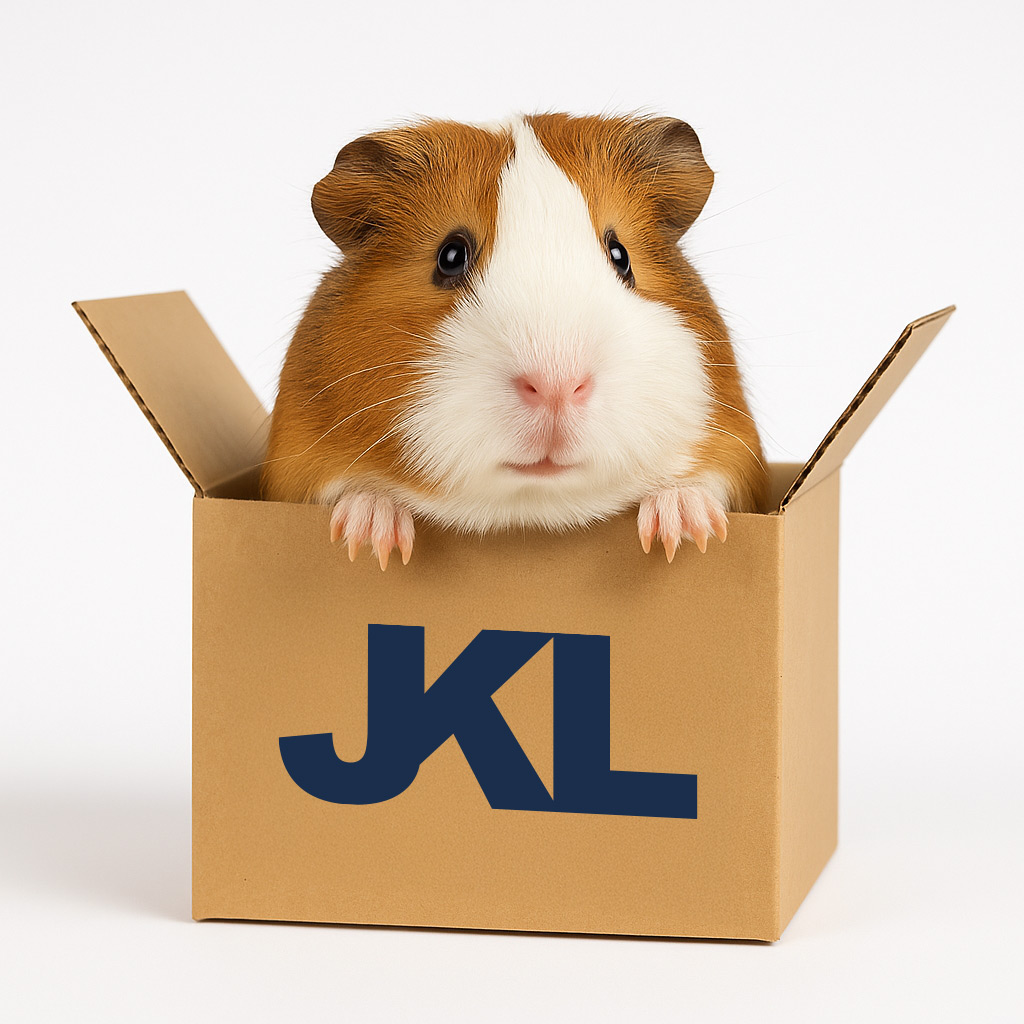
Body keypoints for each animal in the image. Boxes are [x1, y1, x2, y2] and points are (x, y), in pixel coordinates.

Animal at [262, 113, 768, 568]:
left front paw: (686, 529)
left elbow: (704, 482)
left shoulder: (736, 453)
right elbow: (350, 490)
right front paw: (370, 537)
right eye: (450, 256)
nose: (556, 386)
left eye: (620, 255)